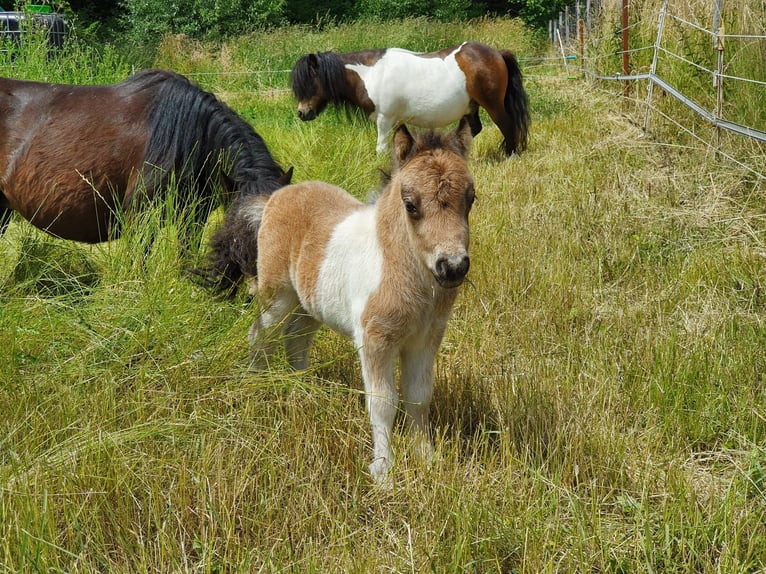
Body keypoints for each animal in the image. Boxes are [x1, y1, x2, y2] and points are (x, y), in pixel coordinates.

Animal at [200, 120, 474, 486]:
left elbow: (418, 396)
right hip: (277, 296)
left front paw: (427, 460)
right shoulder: (375, 340)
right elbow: (383, 402)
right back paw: (255, 382)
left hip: (310, 303)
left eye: (470, 199)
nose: (452, 266)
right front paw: (383, 472)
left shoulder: (426, 340)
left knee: (296, 339)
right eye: (411, 205)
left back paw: (303, 388)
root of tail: (275, 197)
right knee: (260, 333)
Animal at [292, 41, 532, 156]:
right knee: (474, 129)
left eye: (310, 82)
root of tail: (497, 54)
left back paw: (510, 155)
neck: (372, 74)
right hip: (471, 108)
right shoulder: (397, 121)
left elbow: (381, 148)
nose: (302, 113)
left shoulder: (385, 120)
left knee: (507, 126)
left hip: (493, 105)